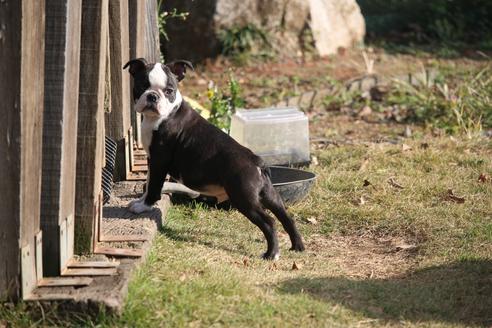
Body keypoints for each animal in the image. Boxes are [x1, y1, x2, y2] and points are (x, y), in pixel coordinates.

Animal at [123, 58, 304, 258]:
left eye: (169, 91)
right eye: (142, 86)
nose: (153, 96)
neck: (164, 115)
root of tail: (257, 161)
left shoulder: (159, 160)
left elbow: (154, 186)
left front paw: (144, 207)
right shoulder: (151, 159)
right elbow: (148, 182)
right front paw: (140, 201)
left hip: (244, 198)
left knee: (269, 222)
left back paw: (271, 254)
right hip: (269, 194)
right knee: (286, 216)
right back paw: (297, 246)